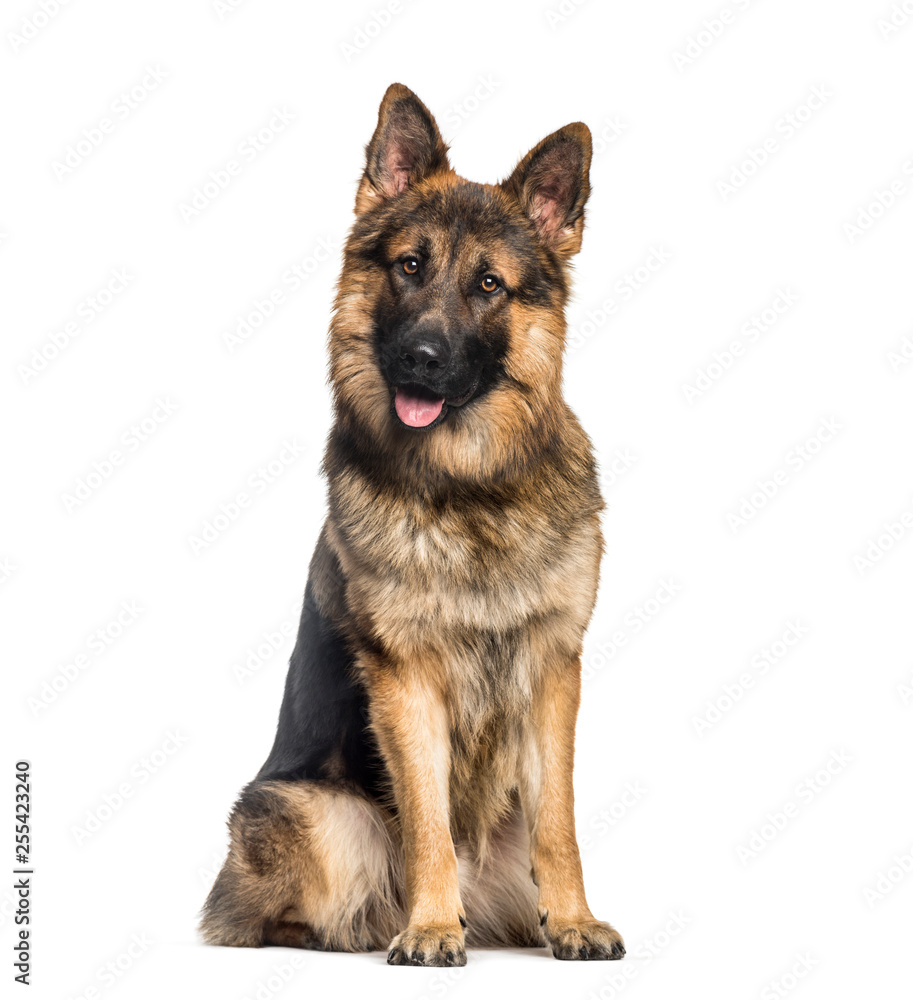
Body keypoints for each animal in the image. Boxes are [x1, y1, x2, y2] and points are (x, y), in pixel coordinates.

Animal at [202, 88, 624, 968]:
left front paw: (572, 918)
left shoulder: (552, 670)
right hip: (307, 808)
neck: (470, 492)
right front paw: (430, 927)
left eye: (489, 284)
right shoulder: (405, 680)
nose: (423, 358)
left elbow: (559, 821)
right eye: (408, 266)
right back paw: (365, 930)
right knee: (287, 913)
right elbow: (427, 819)